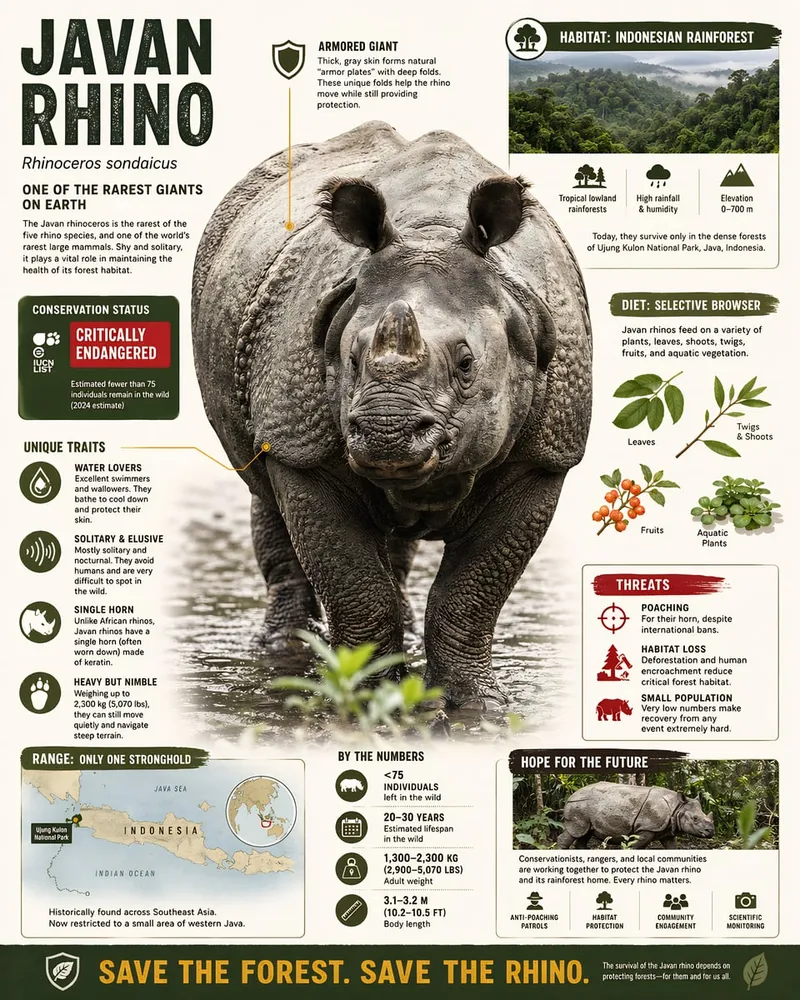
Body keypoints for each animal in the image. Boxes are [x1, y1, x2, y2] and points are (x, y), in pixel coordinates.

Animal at [192, 121, 592, 712]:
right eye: (352, 359)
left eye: (467, 364)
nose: (387, 432)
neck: (431, 229)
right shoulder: (303, 445)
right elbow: (355, 585)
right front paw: (363, 693)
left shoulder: (546, 455)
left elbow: (473, 593)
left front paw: (478, 704)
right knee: (262, 479)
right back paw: (285, 647)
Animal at [557, 782, 715, 849]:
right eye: (695, 819)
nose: (711, 832)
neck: (677, 807)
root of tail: (571, 795)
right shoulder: (646, 828)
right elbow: (634, 846)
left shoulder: (666, 831)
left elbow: (672, 848)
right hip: (578, 805)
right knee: (575, 831)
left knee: (584, 833)